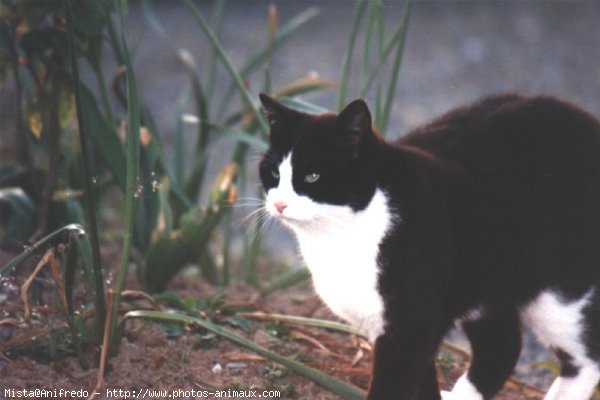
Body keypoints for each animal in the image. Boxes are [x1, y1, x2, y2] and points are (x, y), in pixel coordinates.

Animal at [258, 92, 600, 400]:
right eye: (273, 173)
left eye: (312, 176)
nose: (279, 204)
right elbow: (422, 384)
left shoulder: (410, 328)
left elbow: (393, 387)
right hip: (486, 280)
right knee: (502, 346)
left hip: (559, 293)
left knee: (585, 358)